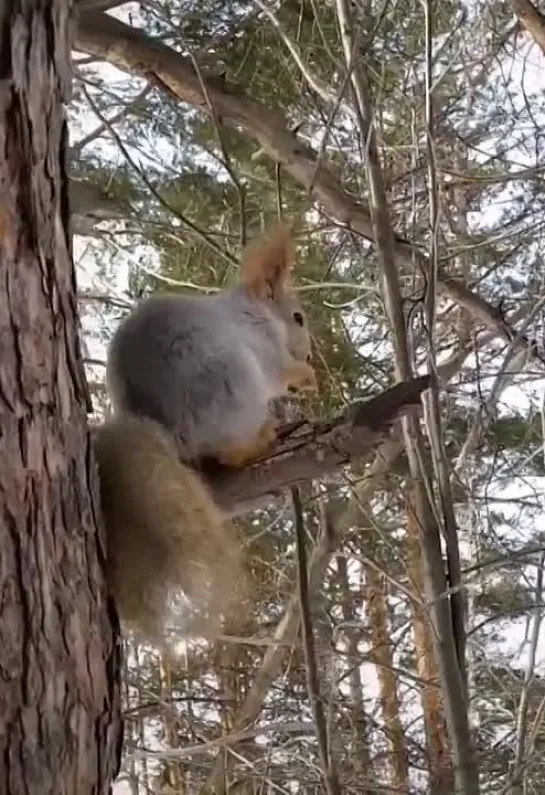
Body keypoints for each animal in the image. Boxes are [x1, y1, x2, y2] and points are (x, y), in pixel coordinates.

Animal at [91, 224, 316, 640]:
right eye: (298, 317)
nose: (309, 356)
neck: (255, 311)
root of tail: (166, 428)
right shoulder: (265, 350)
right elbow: (280, 372)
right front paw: (305, 376)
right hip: (235, 382)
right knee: (228, 453)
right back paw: (264, 437)